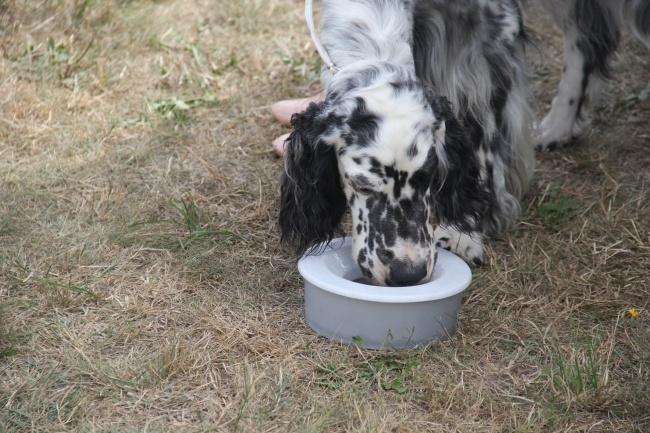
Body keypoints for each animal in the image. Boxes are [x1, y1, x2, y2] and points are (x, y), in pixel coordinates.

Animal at [278, 0, 648, 286]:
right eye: (361, 185)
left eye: (428, 178)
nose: (408, 274)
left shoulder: (492, 35)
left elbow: (485, 138)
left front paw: (466, 231)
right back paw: (560, 127)